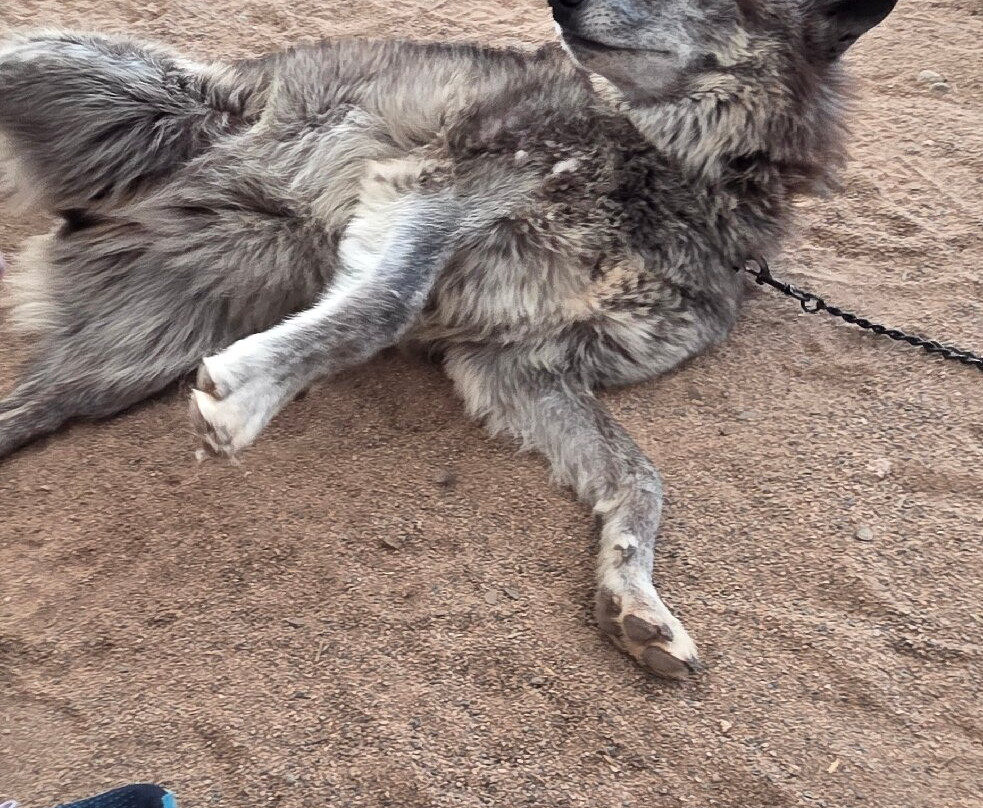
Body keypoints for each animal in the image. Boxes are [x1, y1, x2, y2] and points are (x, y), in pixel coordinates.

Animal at [0, 0, 898, 679]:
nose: (562, 3)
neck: (675, 169)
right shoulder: (441, 188)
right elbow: (383, 305)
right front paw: (252, 392)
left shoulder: (518, 366)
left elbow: (641, 480)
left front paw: (634, 597)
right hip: (87, 82)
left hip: (119, 361)